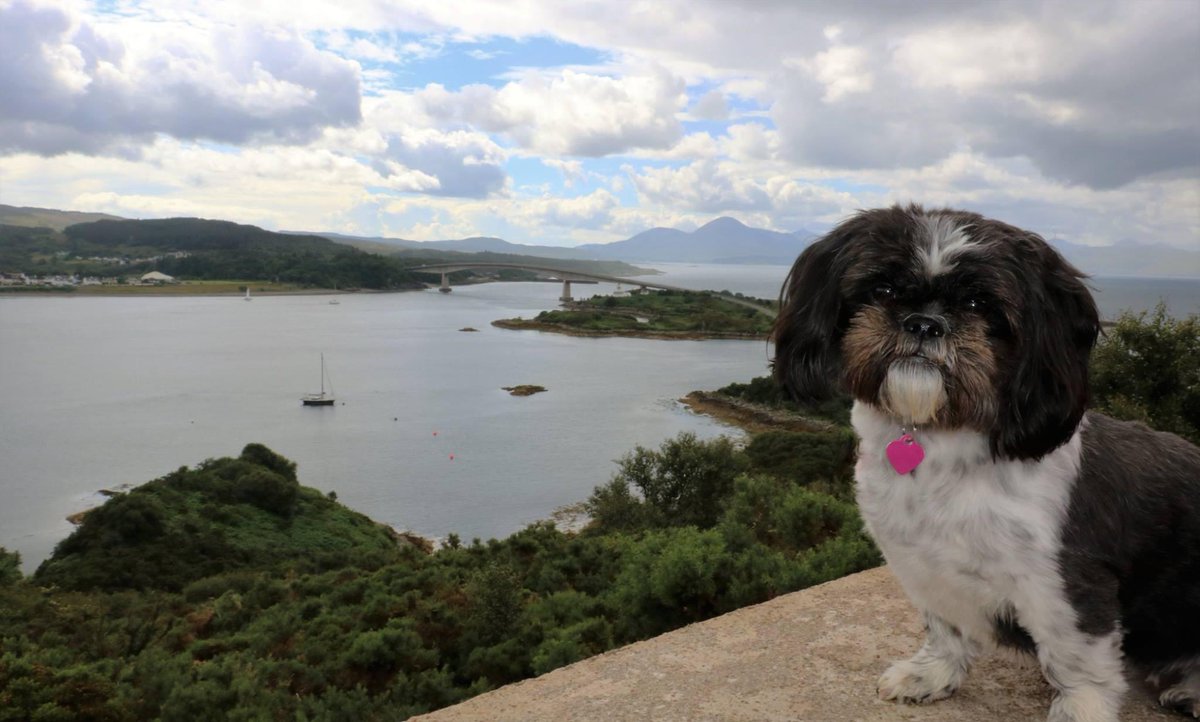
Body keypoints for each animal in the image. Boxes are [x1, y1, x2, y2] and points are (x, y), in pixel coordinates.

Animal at [768, 203, 1200, 719]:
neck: (941, 447)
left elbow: (1078, 665)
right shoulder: (923, 566)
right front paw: (932, 673)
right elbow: (945, 628)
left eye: (978, 304)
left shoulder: (1065, 587)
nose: (923, 322)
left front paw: (1079, 710)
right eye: (883, 290)